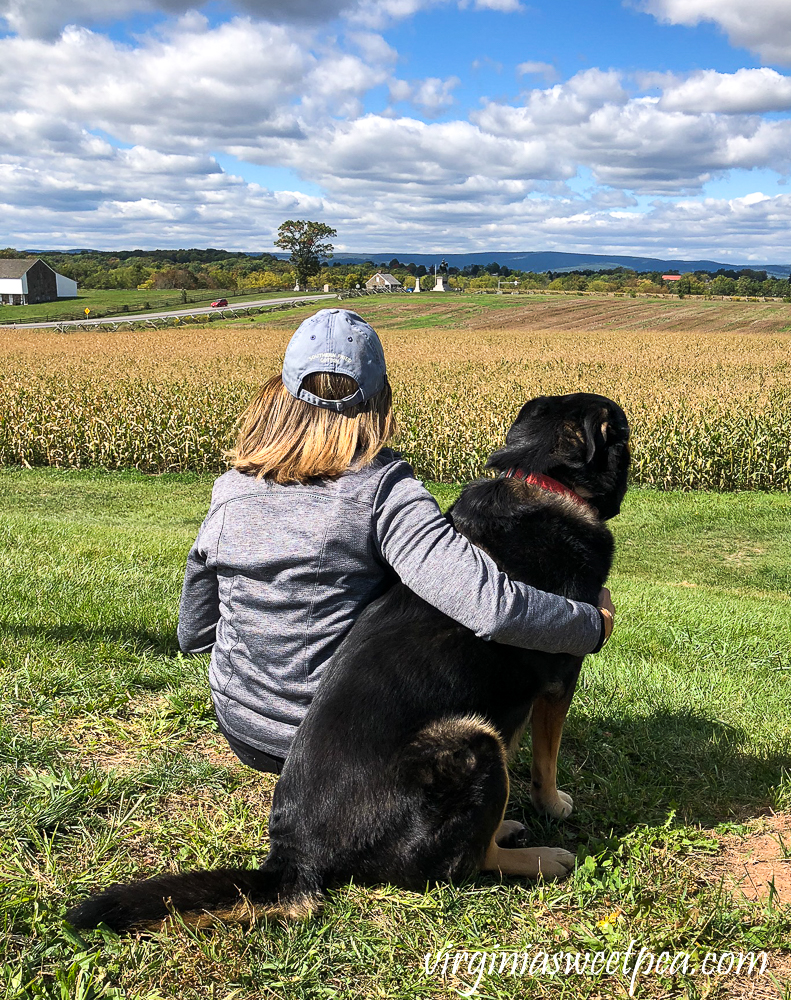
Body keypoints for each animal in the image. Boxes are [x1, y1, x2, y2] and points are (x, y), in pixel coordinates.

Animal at [66, 390, 632, 928]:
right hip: (472, 739)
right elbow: (544, 763)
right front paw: (553, 806)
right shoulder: (560, 678)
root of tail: (296, 853)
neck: (540, 477)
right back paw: (540, 856)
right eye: (623, 431)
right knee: (461, 865)